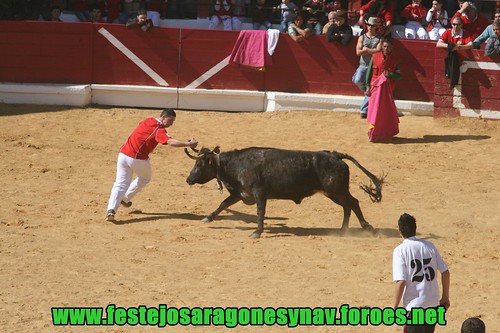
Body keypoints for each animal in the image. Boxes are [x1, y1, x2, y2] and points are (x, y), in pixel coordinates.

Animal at [186, 147, 384, 237]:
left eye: (199, 164)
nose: (188, 179)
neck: (237, 165)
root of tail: (335, 155)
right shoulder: (240, 194)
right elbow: (223, 204)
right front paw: (208, 218)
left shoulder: (259, 193)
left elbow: (260, 212)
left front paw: (257, 232)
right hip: (333, 193)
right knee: (347, 206)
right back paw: (343, 230)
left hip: (336, 190)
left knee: (353, 203)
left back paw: (366, 227)